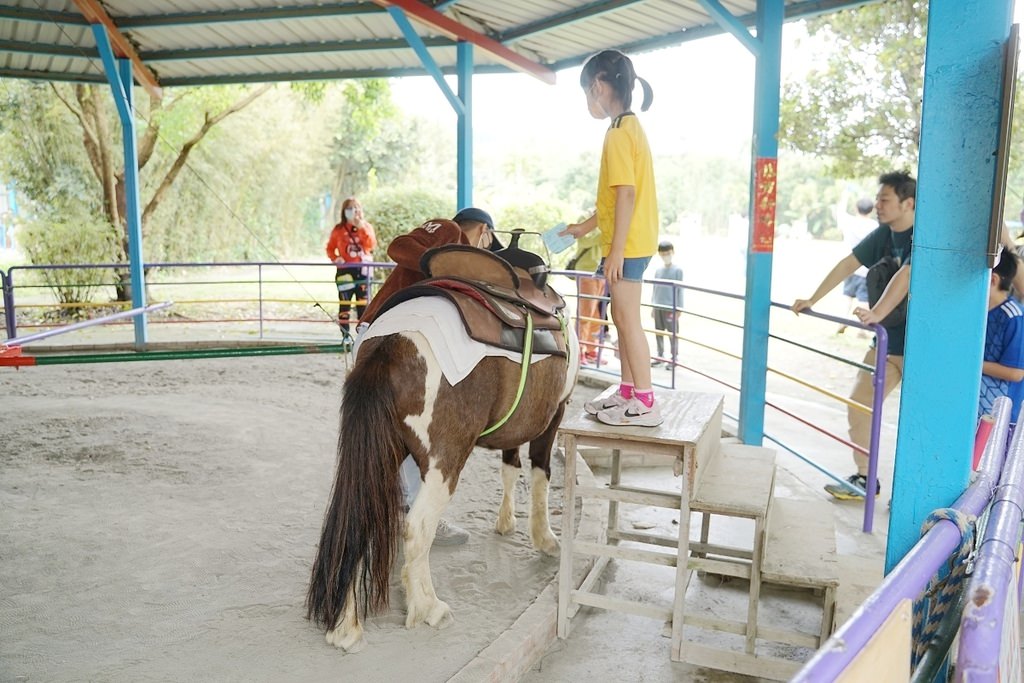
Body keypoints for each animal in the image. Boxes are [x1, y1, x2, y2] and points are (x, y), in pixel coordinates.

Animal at [303, 309, 577, 651]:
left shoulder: (515, 427)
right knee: (417, 529)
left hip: (380, 454)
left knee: (359, 519)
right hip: (443, 464)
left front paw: (505, 521)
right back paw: (428, 607)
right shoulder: (554, 414)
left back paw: (345, 626)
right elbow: (541, 471)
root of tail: (391, 348)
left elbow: (509, 467)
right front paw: (545, 538)